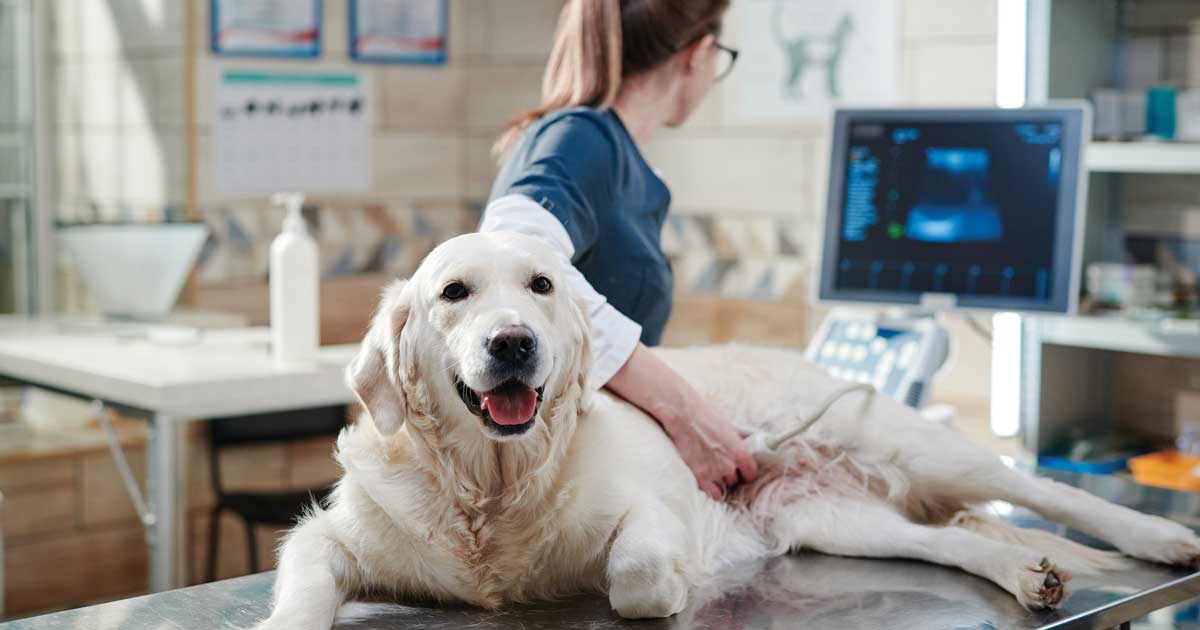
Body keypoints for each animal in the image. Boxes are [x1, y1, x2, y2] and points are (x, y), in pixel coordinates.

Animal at [253, 231, 1200, 628]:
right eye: (455, 293)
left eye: (542, 286)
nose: (513, 343)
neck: (491, 485)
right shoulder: (328, 537)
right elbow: (302, 591)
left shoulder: (653, 507)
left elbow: (635, 569)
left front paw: (670, 585)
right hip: (834, 519)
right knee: (955, 542)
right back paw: (1025, 574)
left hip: (907, 442)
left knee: (1033, 488)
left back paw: (1161, 537)